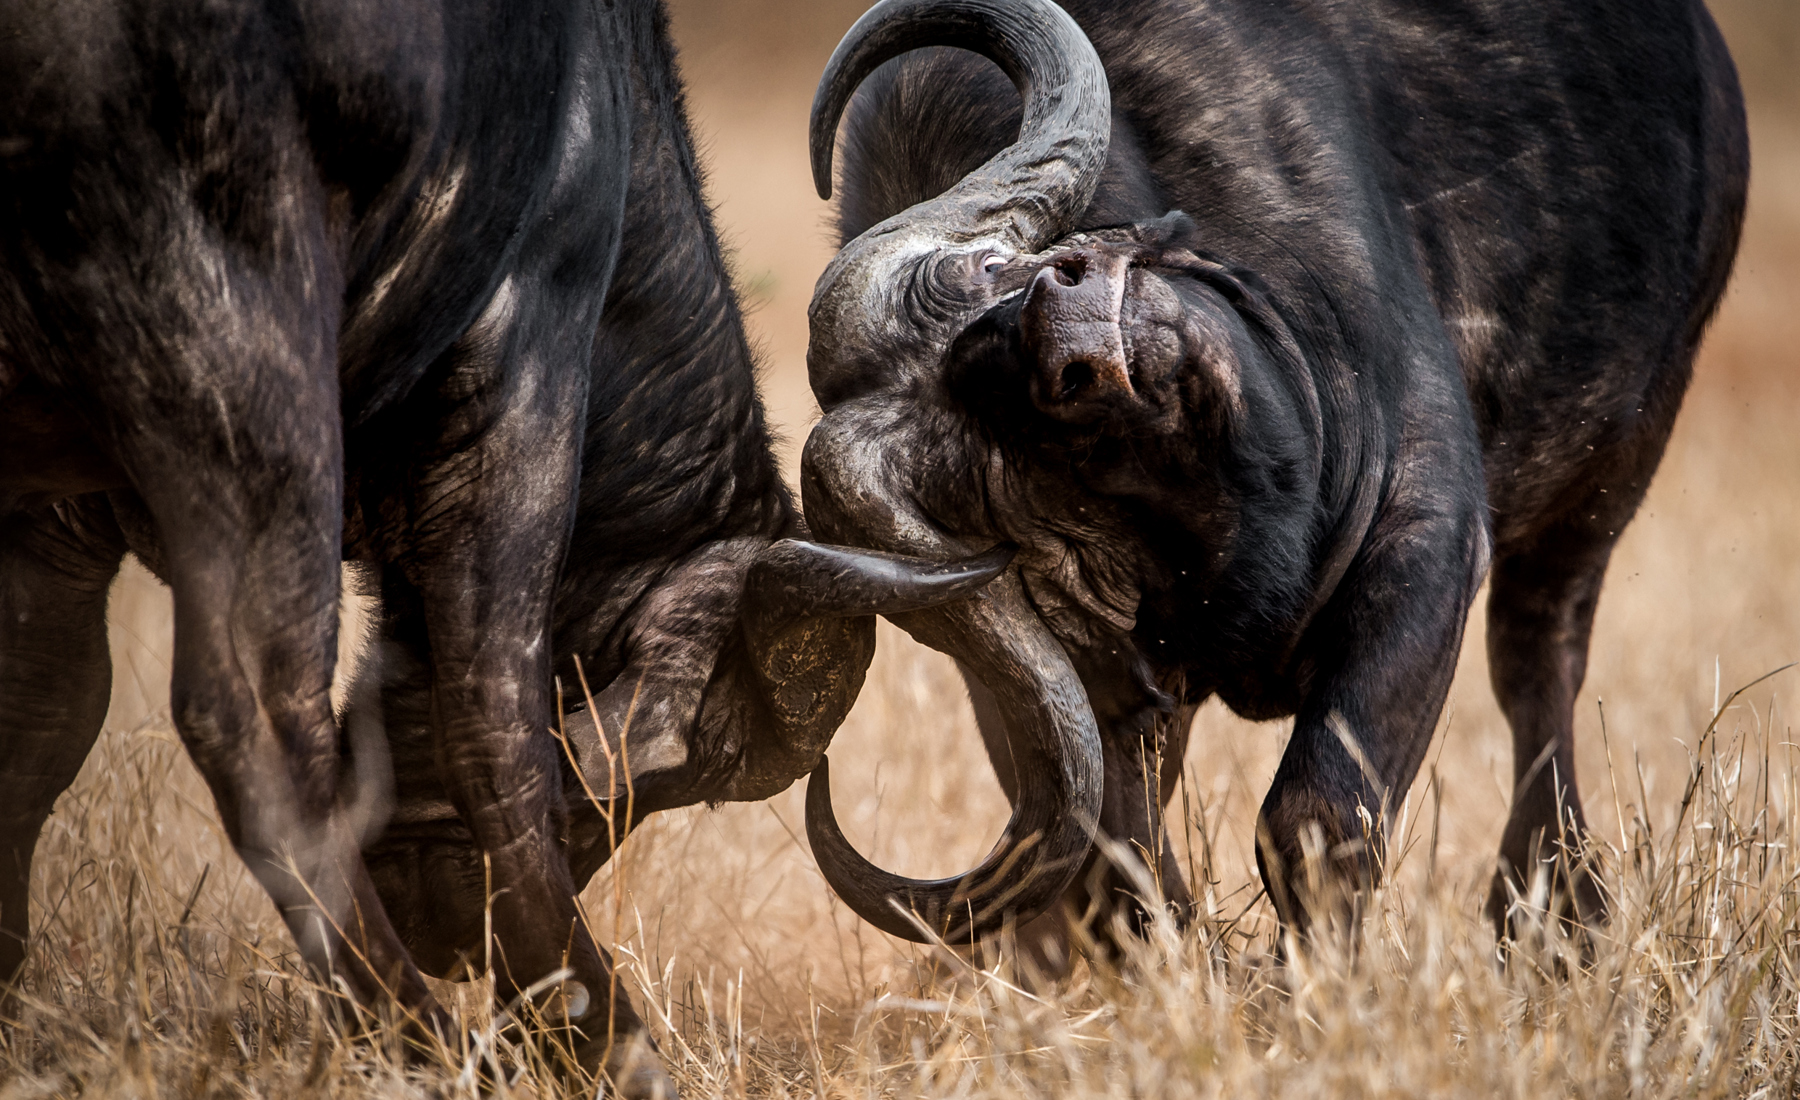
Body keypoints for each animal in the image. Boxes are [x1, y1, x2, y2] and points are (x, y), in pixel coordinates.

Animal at [0, 0, 1002, 1092]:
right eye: (691, 765)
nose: (447, 933)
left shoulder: (57, 517)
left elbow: (40, 722)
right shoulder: (524, 382)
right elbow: (498, 729)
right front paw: (599, 1028)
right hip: (244, 355)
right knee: (260, 723)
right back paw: (419, 1037)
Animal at [795, 0, 1749, 960]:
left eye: (988, 272)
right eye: (979, 472)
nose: (1057, 329)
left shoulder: (1430, 537)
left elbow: (1314, 817)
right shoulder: (1088, 699)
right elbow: (1119, 863)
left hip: (1613, 470)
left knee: (1538, 661)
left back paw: (1555, 920)